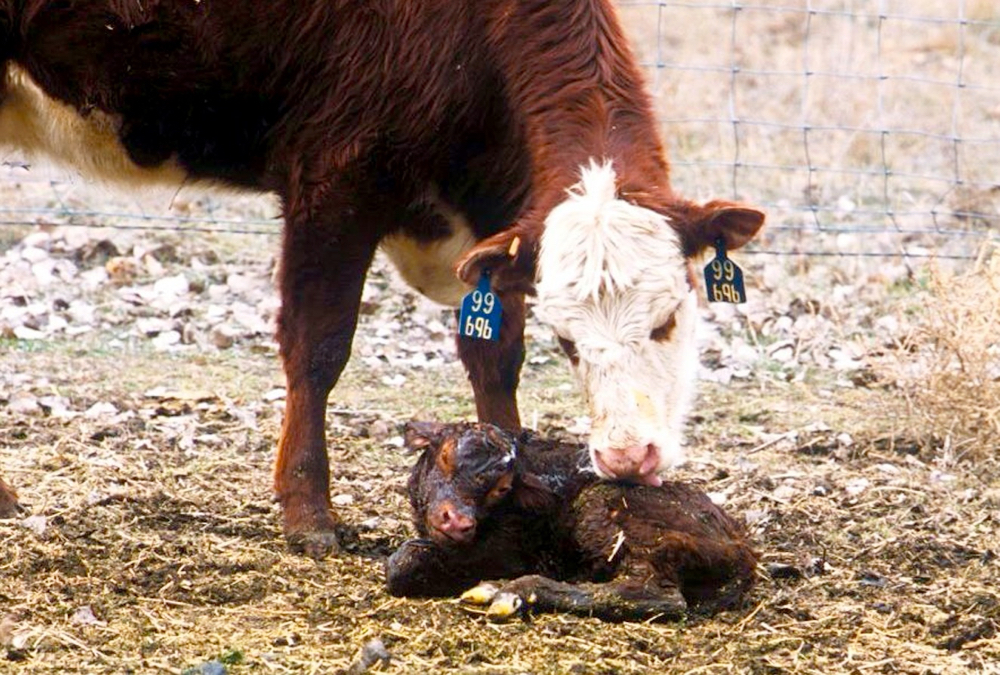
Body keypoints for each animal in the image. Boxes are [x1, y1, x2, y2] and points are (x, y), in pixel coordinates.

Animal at [0, 0, 764, 555]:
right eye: (569, 339)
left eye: (668, 316)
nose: (627, 455)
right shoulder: (336, 179)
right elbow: (318, 346)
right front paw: (308, 512)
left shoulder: (497, 228)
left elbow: (493, 354)